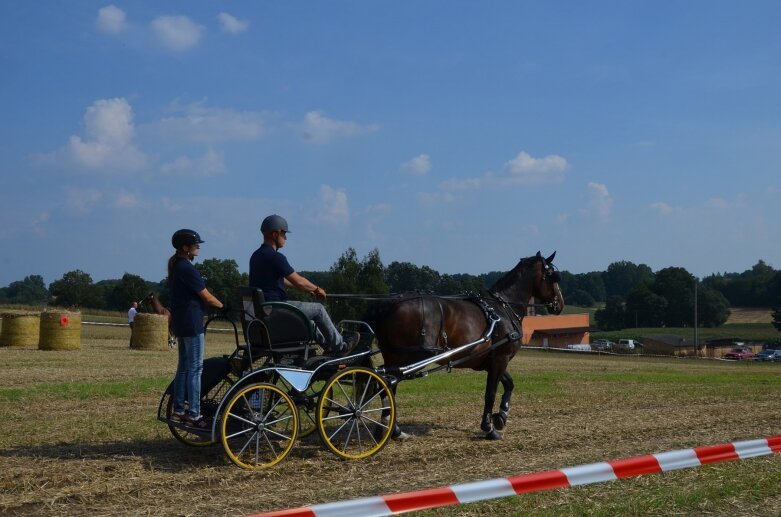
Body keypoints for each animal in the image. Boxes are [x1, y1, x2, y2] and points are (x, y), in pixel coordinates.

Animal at [362, 252, 564, 438]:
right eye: (553, 275)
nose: (560, 304)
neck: (502, 309)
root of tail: (388, 303)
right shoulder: (501, 357)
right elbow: (491, 392)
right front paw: (489, 428)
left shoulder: (492, 360)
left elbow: (509, 384)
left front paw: (501, 416)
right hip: (410, 357)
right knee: (386, 382)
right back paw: (391, 428)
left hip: (393, 355)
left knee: (385, 383)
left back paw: (388, 428)